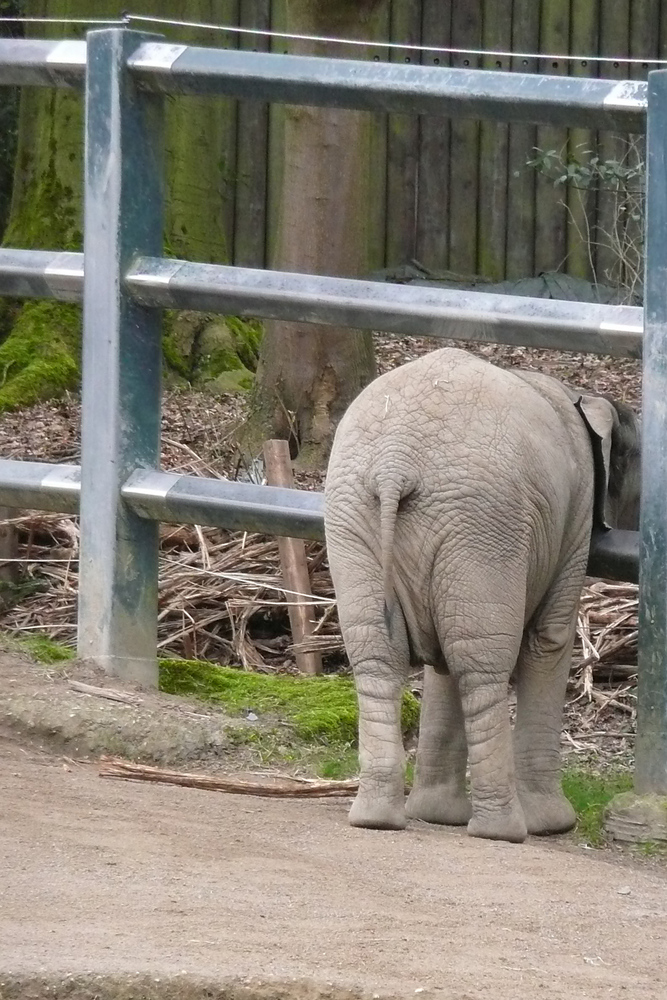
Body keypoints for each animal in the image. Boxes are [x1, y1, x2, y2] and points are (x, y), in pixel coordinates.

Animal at [324, 348, 640, 840]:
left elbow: (441, 660)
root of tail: (396, 462)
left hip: (354, 516)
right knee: (481, 666)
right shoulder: (575, 518)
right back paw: (503, 830)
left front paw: (436, 815)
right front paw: (553, 824)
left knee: (379, 657)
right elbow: (549, 640)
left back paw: (377, 818)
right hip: (485, 526)